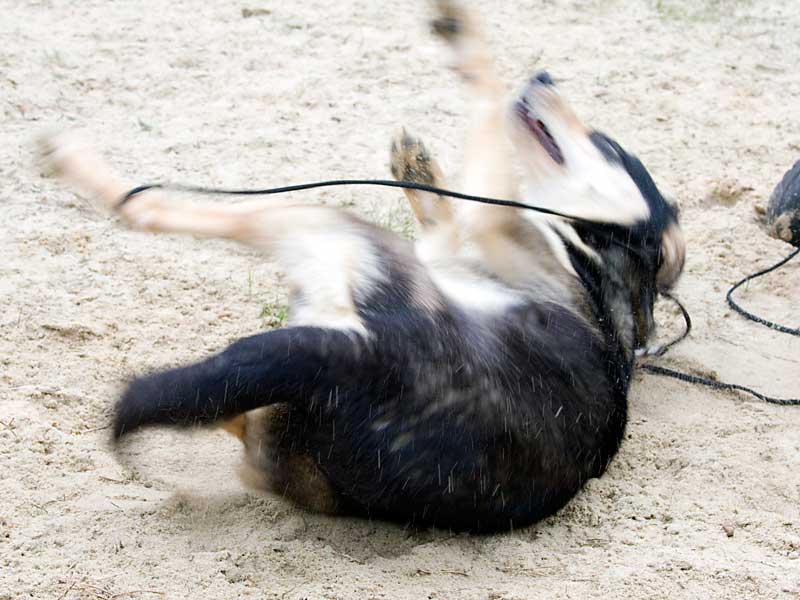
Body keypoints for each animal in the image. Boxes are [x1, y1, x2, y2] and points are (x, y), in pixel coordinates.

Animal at [40, 0, 684, 532]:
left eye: (606, 146)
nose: (546, 77)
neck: (592, 258)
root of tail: (357, 360)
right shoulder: (465, 229)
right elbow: (444, 199)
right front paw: (417, 165)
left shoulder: (489, 215)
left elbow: (486, 93)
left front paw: (462, 31)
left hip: (328, 228)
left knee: (148, 209)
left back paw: (77, 164)